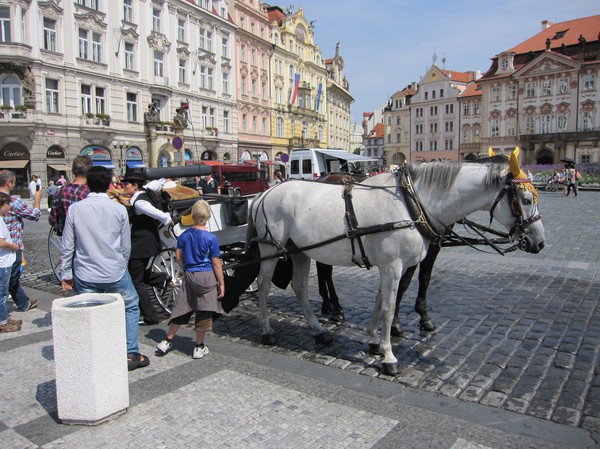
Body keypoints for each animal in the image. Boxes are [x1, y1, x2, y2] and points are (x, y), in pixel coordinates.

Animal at [246, 148, 548, 374]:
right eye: (525, 198)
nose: (539, 242)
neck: (411, 202)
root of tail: (266, 192)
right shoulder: (393, 265)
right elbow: (390, 307)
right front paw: (389, 356)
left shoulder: (390, 266)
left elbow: (381, 303)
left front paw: (374, 341)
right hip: (271, 249)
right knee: (263, 285)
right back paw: (267, 329)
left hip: (299, 251)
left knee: (299, 287)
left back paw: (319, 329)